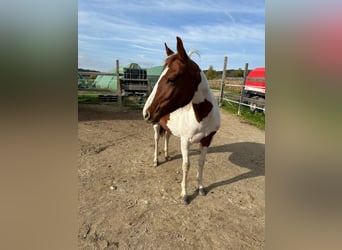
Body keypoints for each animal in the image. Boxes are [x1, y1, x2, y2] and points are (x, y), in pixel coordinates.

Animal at [143, 37, 220, 205]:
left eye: (171, 79)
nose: (145, 113)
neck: (201, 116)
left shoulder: (207, 140)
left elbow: (201, 162)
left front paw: (200, 188)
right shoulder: (185, 141)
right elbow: (186, 165)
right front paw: (184, 195)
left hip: (167, 126)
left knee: (166, 136)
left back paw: (166, 156)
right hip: (156, 124)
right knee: (157, 140)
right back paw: (156, 160)